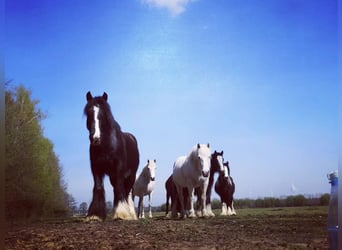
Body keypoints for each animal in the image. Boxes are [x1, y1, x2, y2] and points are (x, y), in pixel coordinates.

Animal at [84, 92, 139, 221]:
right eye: (88, 113)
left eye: (103, 114)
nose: (95, 138)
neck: (107, 145)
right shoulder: (96, 168)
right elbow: (98, 187)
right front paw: (95, 215)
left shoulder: (118, 168)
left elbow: (120, 188)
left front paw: (122, 213)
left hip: (131, 175)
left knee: (127, 192)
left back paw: (130, 214)